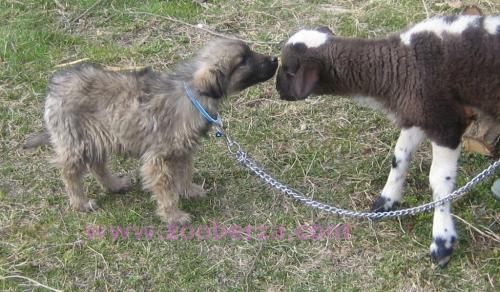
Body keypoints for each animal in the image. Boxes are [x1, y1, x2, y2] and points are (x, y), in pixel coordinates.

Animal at [25, 38, 278, 224]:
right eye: (243, 60)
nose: (275, 59)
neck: (192, 95)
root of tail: (54, 88)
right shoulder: (158, 159)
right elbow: (165, 190)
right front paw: (173, 215)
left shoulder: (181, 152)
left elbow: (185, 172)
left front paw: (189, 190)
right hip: (78, 141)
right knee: (70, 173)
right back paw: (80, 202)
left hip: (99, 136)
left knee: (97, 165)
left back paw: (115, 185)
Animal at [276, 15, 500, 266]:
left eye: (288, 69)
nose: (277, 90)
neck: (401, 65)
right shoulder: (415, 114)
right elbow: (399, 157)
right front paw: (386, 202)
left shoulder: (445, 123)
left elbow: (439, 181)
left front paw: (442, 242)